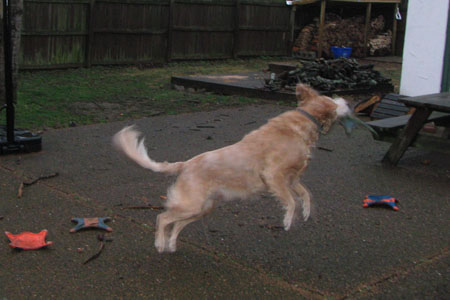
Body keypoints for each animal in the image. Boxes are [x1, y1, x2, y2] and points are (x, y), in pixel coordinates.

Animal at [112, 83, 352, 252]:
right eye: (334, 101)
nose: (346, 100)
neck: (303, 122)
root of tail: (185, 164)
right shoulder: (274, 175)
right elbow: (291, 201)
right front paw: (287, 221)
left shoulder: (292, 179)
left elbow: (305, 195)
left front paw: (307, 212)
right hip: (191, 205)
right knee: (162, 218)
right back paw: (160, 244)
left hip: (201, 208)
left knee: (176, 224)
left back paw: (171, 244)